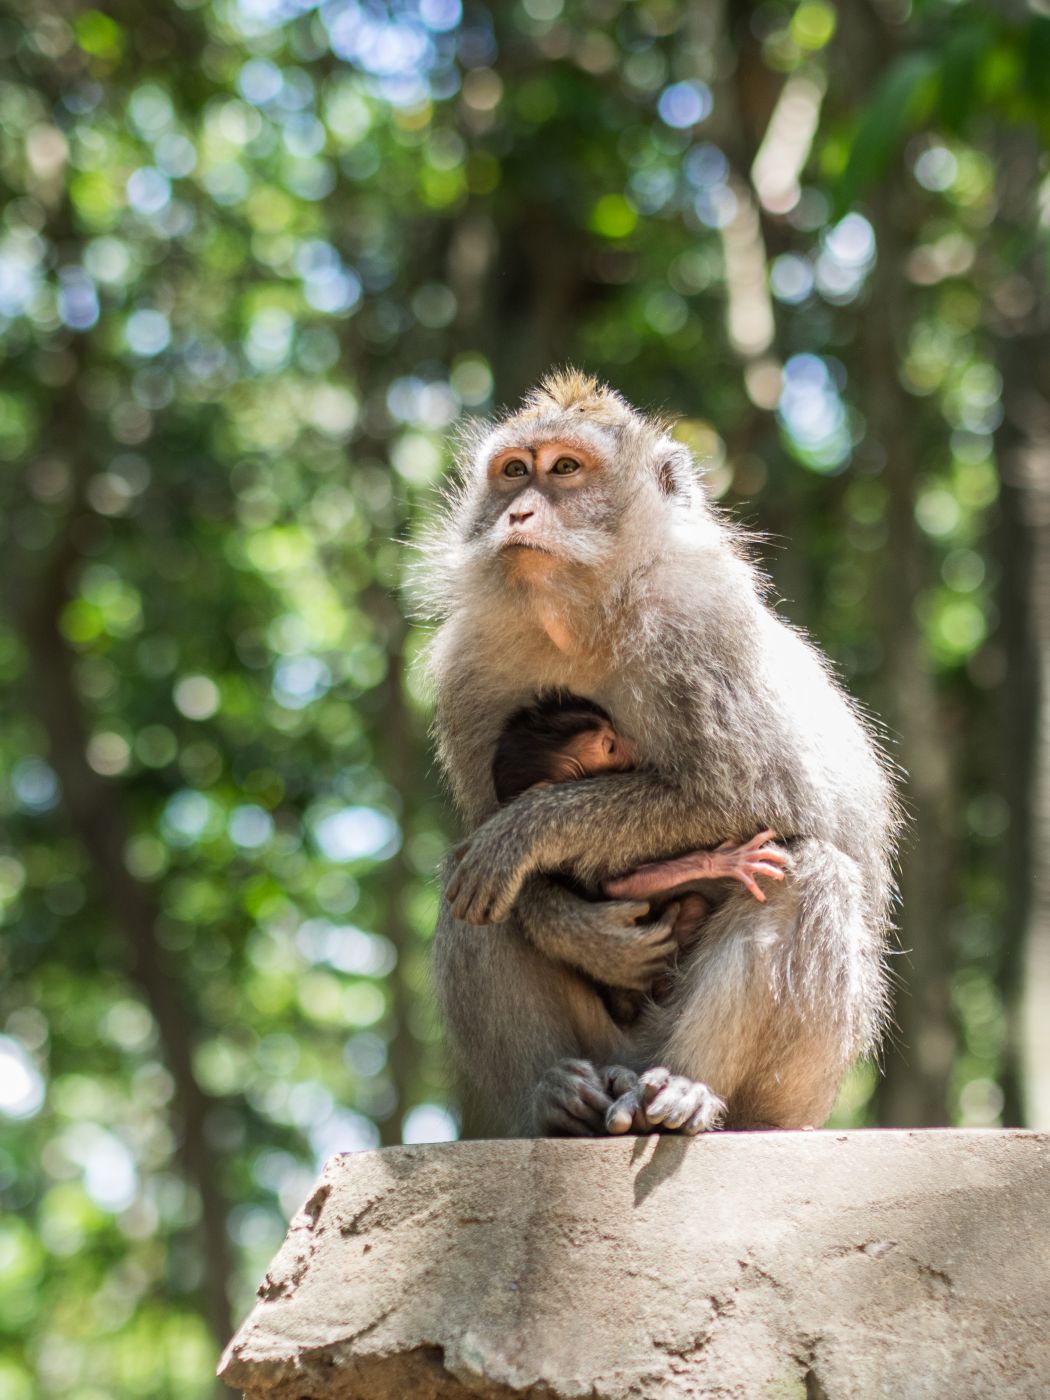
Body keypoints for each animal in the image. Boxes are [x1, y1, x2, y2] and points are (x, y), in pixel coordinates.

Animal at [421, 369, 899, 1139]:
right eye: (515, 471)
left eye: (565, 469)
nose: (518, 513)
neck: (587, 616)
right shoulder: (468, 669)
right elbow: (488, 843)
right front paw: (579, 930)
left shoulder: (701, 627)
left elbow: (755, 797)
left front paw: (528, 830)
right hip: (602, 1045)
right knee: (467, 894)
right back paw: (555, 1098)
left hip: (793, 1086)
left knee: (810, 871)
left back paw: (686, 1092)